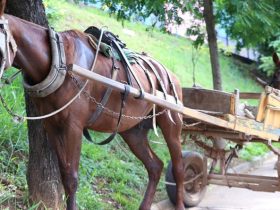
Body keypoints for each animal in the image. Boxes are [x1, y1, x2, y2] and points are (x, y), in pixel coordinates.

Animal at [1, 2, 186, 210]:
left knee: (178, 168)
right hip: (133, 130)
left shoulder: (73, 126)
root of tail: (173, 77)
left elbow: (71, 179)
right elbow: (64, 174)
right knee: (155, 166)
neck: (61, 60)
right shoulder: (52, 124)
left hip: (172, 123)